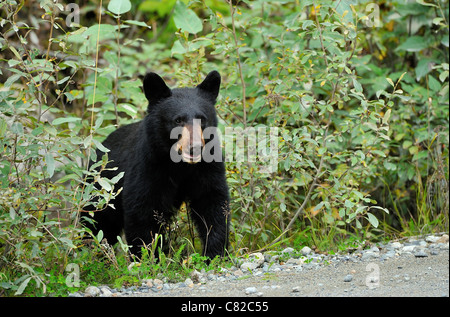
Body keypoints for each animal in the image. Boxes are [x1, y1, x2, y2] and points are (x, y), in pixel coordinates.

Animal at [85, 71, 230, 260]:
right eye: (178, 120)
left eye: (202, 119)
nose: (195, 147)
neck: (180, 165)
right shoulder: (148, 165)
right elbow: (143, 211)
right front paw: (147, 257)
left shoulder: (207, 166)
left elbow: (212, 204)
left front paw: (215, 254)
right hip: (102, 191)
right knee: (98, 224)